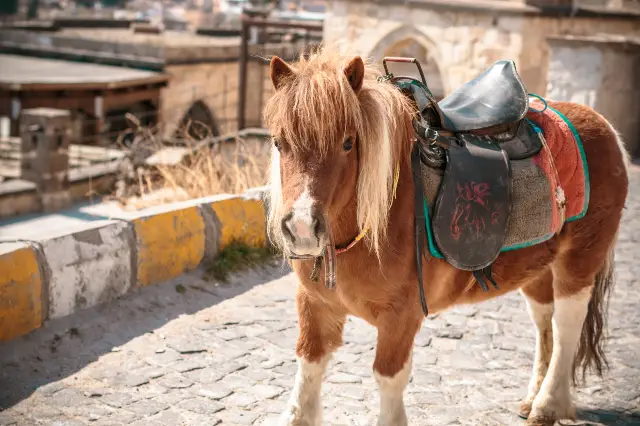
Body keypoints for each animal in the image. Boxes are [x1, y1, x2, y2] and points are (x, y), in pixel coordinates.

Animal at [262, 48, 629, 426]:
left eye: (348, 143)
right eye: (278, 142)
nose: (302, 228)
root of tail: (603, 124)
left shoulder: (400, 316)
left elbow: (388, 375)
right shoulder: (314, 304)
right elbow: (308, 366)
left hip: (580, 259)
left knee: (567, 322)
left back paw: (549, 404)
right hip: (538, 266)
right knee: (545, 323)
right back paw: (534, 397)